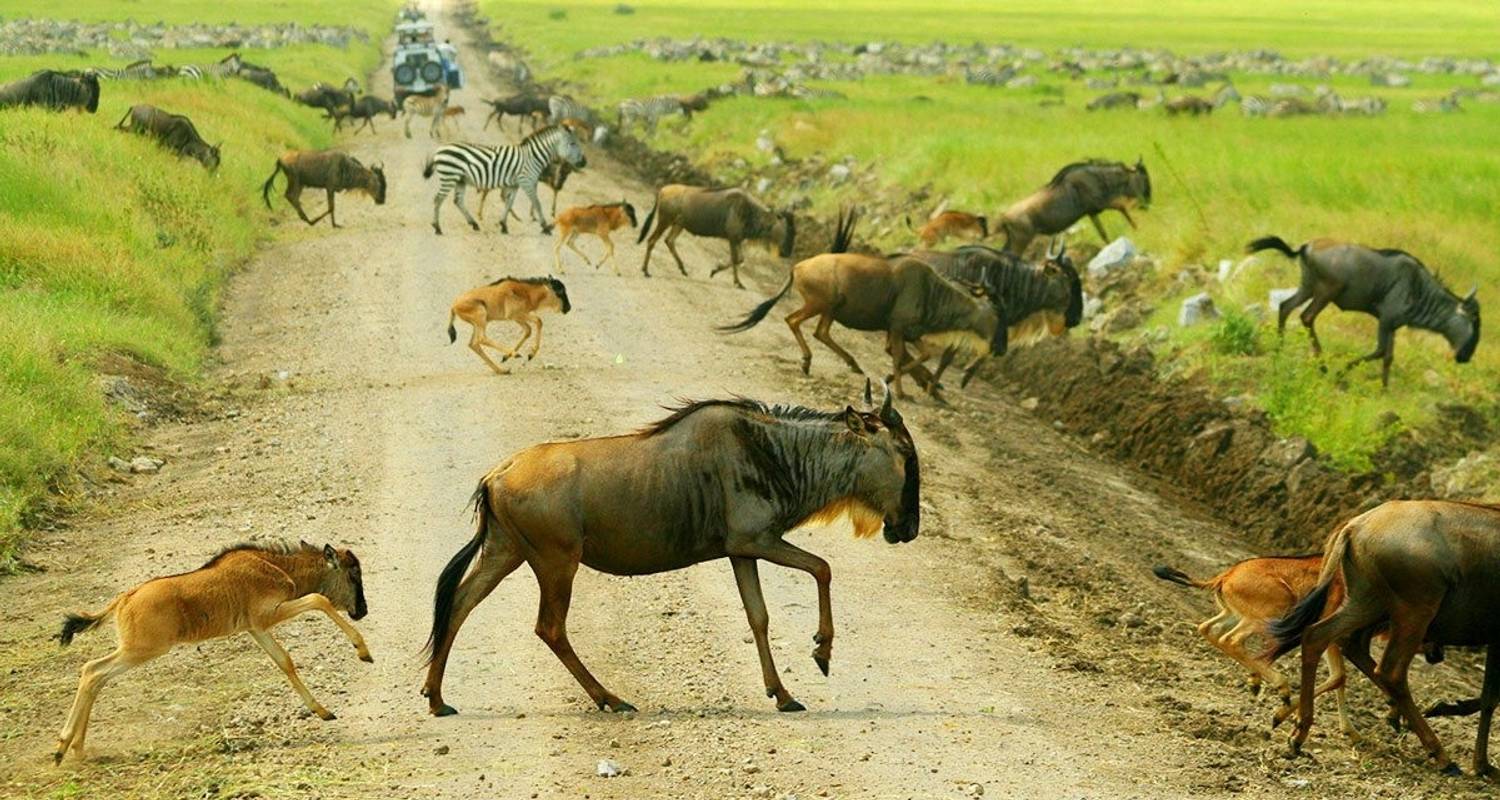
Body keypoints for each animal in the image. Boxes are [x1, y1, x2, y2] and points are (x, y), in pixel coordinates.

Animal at [54, 540, 370, 756]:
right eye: (353, 574)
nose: (363, 610)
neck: (278, 566)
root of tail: (123, 599)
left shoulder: (257, 628)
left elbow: (285, 662)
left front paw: (322, 711)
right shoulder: (269, 615)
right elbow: (319, 600)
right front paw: (363, 651)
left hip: (137, 651)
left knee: (96, 677)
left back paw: (76, 750)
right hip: (142, 650)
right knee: (92, 671)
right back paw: (63, 747)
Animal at [426, 122, 588, 234]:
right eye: (572, 144)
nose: (584, 162)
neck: (533, 157)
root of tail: (439, 149)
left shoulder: (515, 184)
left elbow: (509, 203)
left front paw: (503, 226)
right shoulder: (527, 181)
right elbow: (537, 203)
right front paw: (545, 227)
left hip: (460, 179)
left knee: (458, 201)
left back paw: (473, 224)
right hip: (449, 176)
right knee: (438, 199)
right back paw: (437, 228)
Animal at [444, 274, 573, 373]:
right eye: (560, 291)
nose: (568, 308)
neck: (526, 292)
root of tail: (454, 306)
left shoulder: (518, 317)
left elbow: (528, 330)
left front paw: (506, 357)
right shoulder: (516, 315)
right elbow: (538, 321)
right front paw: (530, 354)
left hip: (477, 324)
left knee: (473, 344)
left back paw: (501, 370)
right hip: (481, 318)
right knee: (481, 339)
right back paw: (514, 356)